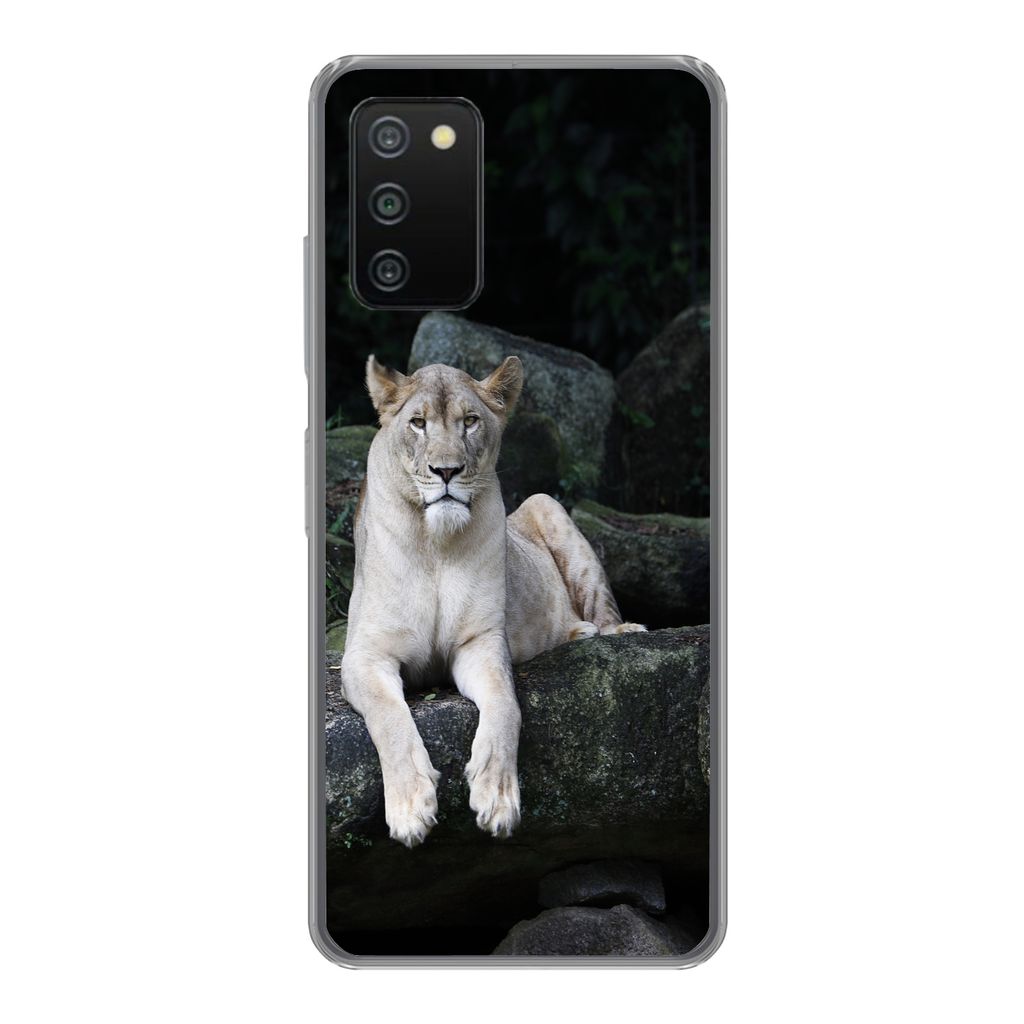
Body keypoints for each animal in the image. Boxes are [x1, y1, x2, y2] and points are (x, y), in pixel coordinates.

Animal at [340, 354, 645, 848]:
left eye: (470, 421)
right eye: (418, 423)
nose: (447, 471)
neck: (435, 545)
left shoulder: (480, 644)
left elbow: (506, 705)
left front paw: (497, 798)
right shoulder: (364, 656)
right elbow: (389, 717)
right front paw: (410, 809)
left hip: (546, 504)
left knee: (602, 608)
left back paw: (609, 630)